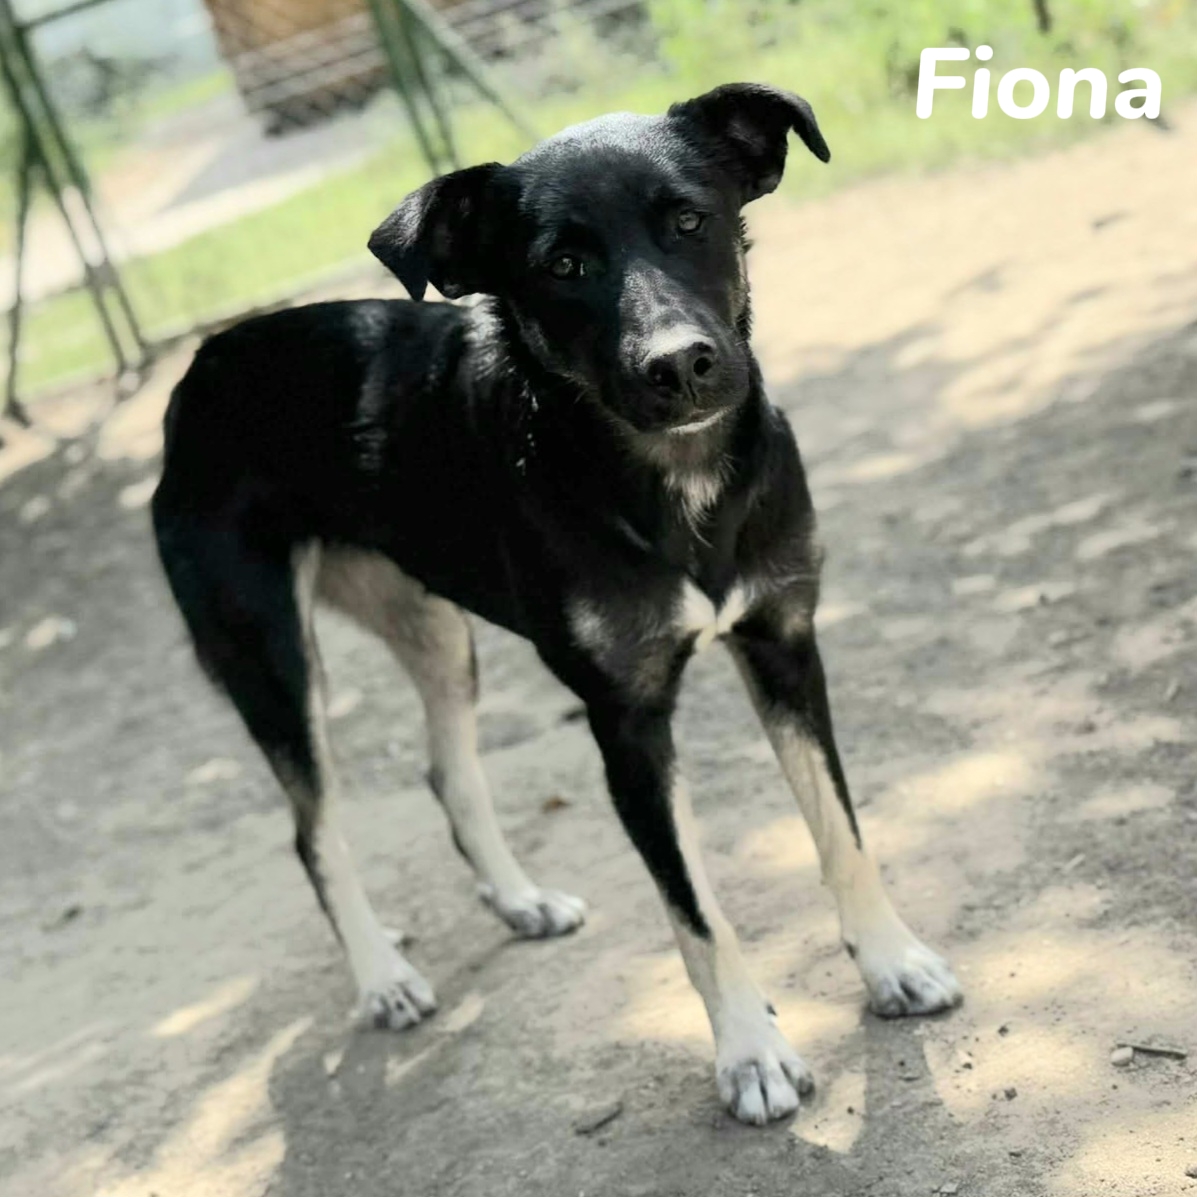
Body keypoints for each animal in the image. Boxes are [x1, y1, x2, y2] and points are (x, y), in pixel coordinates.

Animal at [152, 82, 962, 1126]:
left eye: (689, 221)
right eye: (562, 265)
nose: (680, 365)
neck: (673, 486)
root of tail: (206, 362)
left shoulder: (783, 642)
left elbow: (842, 830)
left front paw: (892, 962)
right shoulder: (627, 725)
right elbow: (696, 910)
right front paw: (751, 1053)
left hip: (433, 629)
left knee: (449, 772)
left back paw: (518, 900)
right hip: (271, 657)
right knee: (313, 829)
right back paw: (381, 978)